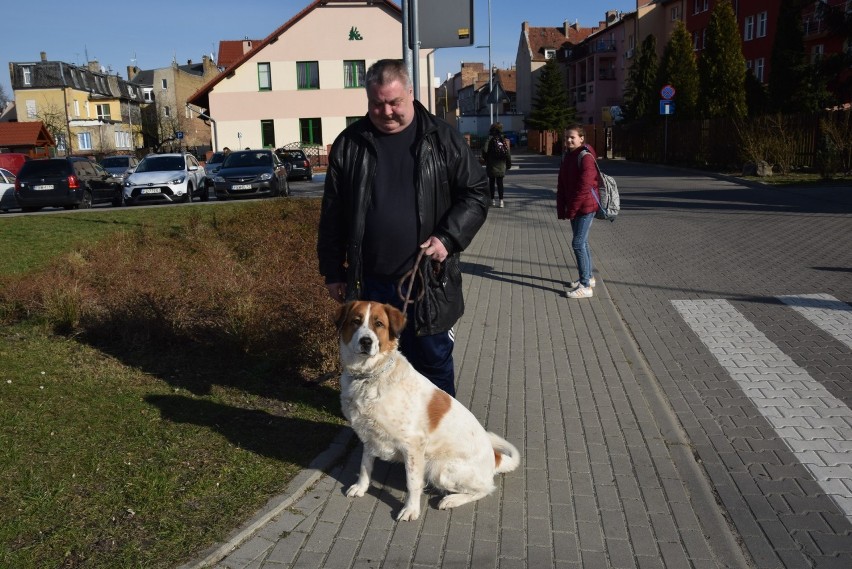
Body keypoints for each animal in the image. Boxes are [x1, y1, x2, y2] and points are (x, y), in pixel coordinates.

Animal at [334, 300, 520, 520]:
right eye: (356, 321)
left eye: (379, 324)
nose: (366, 341)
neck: (369, 377)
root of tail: (494, 458)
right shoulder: (369, 435)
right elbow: (365, 465)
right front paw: (361, 487)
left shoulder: (413, 445)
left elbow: (413, 482)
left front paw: (411, 509)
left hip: (440, 470)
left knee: (485, 488)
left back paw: (451, 499)